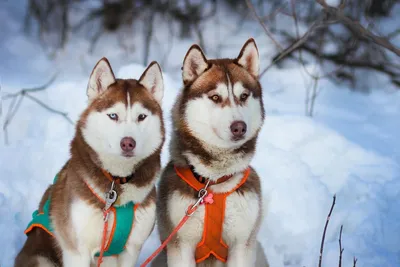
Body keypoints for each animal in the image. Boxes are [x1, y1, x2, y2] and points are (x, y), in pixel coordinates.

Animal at [15, 58, 166, 267]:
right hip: (41, 258)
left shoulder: (132, 249)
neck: (116, 182)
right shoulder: (77, 250)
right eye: (113, 116)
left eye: (141, 117)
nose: (128, 143)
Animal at [155, 38, 268, 267]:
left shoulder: (242, 245)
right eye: (215, 97)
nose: (239, 127)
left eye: (244, 96)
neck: (214, 181)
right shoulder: (180, 244)